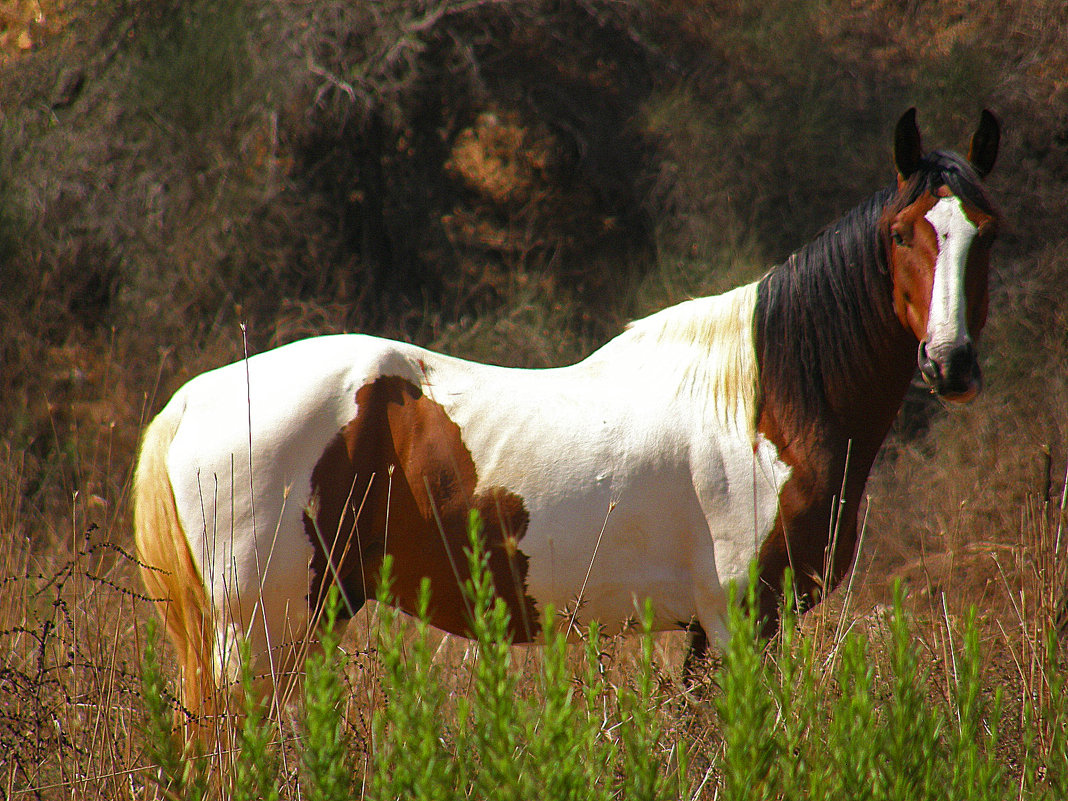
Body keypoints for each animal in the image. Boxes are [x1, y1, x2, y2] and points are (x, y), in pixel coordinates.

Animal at [133, 106, 999, 713]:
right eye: (902, 233)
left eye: (984, 234)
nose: (951, 363)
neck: (764, 406)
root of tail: (196, 398)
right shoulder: (740, 618)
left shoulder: (707, 630)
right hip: (259, 632)